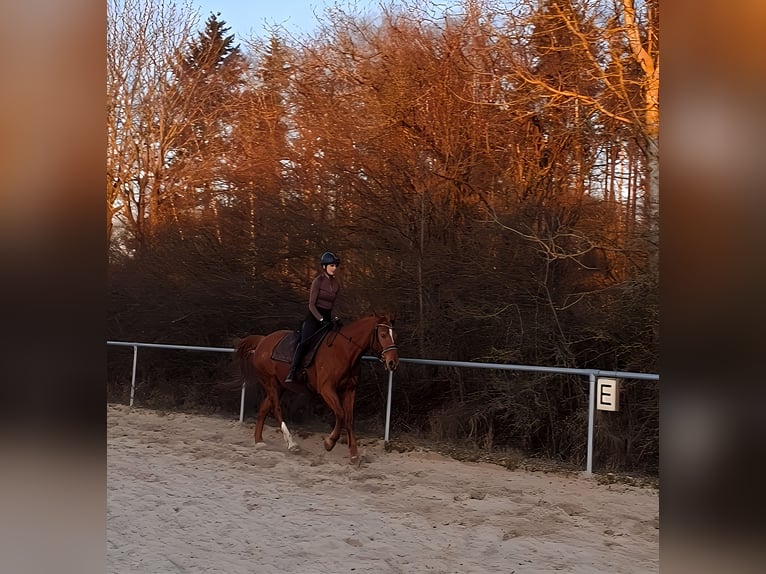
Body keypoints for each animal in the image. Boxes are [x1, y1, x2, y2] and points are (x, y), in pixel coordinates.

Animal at [234, 312, 399, 464]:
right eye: (383, 335)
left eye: (393, 335)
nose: (392, 362)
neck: (344, 351)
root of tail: (263, 340)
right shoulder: (326, 389)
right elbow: (340, 414)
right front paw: (329, 442)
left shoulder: (350, 390)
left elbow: (349, 418)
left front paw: (354, 454)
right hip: (270, 382)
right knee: (276, 409)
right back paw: (292, 444)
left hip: (280, 385)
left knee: (263, 408)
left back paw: (259, 441)